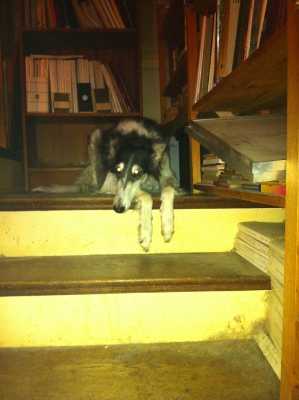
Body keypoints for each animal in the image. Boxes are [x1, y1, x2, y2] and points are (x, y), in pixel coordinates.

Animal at [34, 117, 182, 252]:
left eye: (137, 172)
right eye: (118, 170)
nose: (118, 209)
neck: (135, 139)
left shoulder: (168, 174)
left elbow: (168, 190)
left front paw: (167, 227)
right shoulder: (109, 182)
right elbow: (146, 196)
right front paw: (145, 235)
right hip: (96, 138)